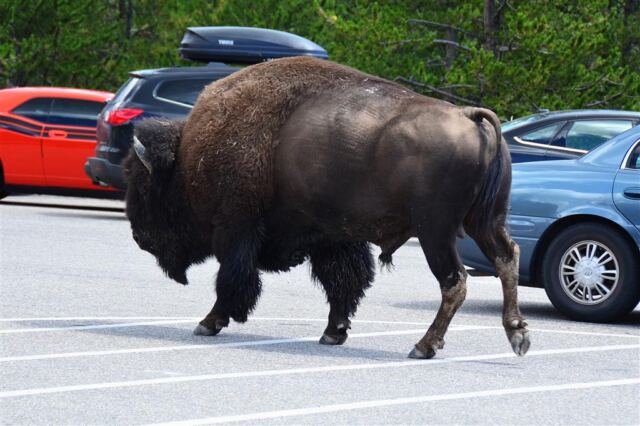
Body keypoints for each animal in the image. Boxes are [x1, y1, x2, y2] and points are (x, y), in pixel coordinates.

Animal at [124, 56, 530, 359]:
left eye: (144, 187)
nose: (140, 238)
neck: (187, 159)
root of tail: (468, 116)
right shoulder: (332, 237)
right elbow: (343, 282)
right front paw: (334, 333)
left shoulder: (236, 228)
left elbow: (234, 279)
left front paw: (209, 322)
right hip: (485, 222)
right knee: (507, 258)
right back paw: (517, 335)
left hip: (436, 232)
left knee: (454, 282)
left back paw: (424, 346)